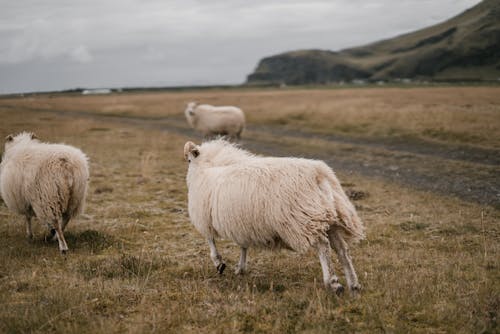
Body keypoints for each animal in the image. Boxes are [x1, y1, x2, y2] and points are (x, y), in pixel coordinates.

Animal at [184, 138, 364, 294]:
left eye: (189, 160)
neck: (209, 165)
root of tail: (320, 175)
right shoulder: (242, 222)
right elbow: (243, 245)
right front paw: (240, 268)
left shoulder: (205, 217)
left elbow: (211, 241)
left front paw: (219, 263)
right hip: (329, 216)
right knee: (342, 249)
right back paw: (353, 284)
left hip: (302, 219)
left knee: (323, 246)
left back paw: (333, 283)